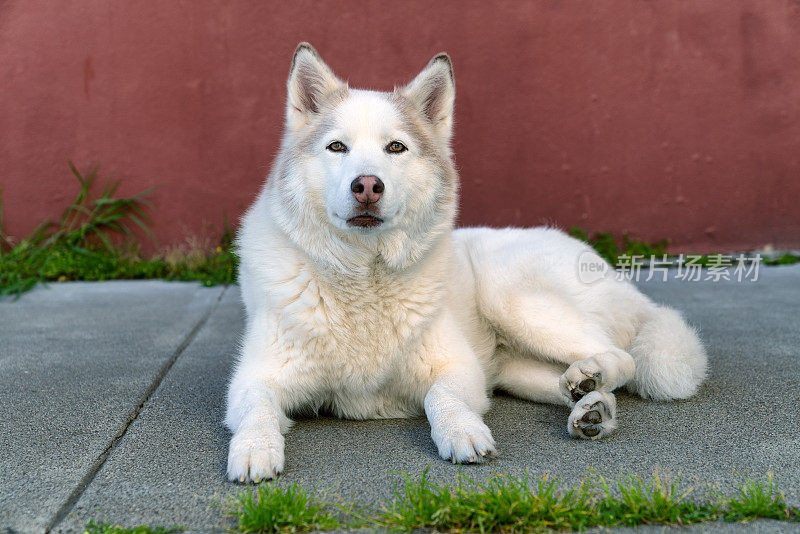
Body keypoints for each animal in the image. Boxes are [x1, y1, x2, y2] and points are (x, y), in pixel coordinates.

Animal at [225, 44, 708, 484]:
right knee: (570, 382)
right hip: (514, 369)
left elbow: (442, 399)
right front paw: (253, 449)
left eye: (395, 147)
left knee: (621, 357)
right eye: (336, 146)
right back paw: (591, 406)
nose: (367, 186)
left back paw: (593, 379)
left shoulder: (458, 368)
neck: (366, 275)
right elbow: (256, 409)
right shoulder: (253, 378)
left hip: (511, 298)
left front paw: (461, 433)